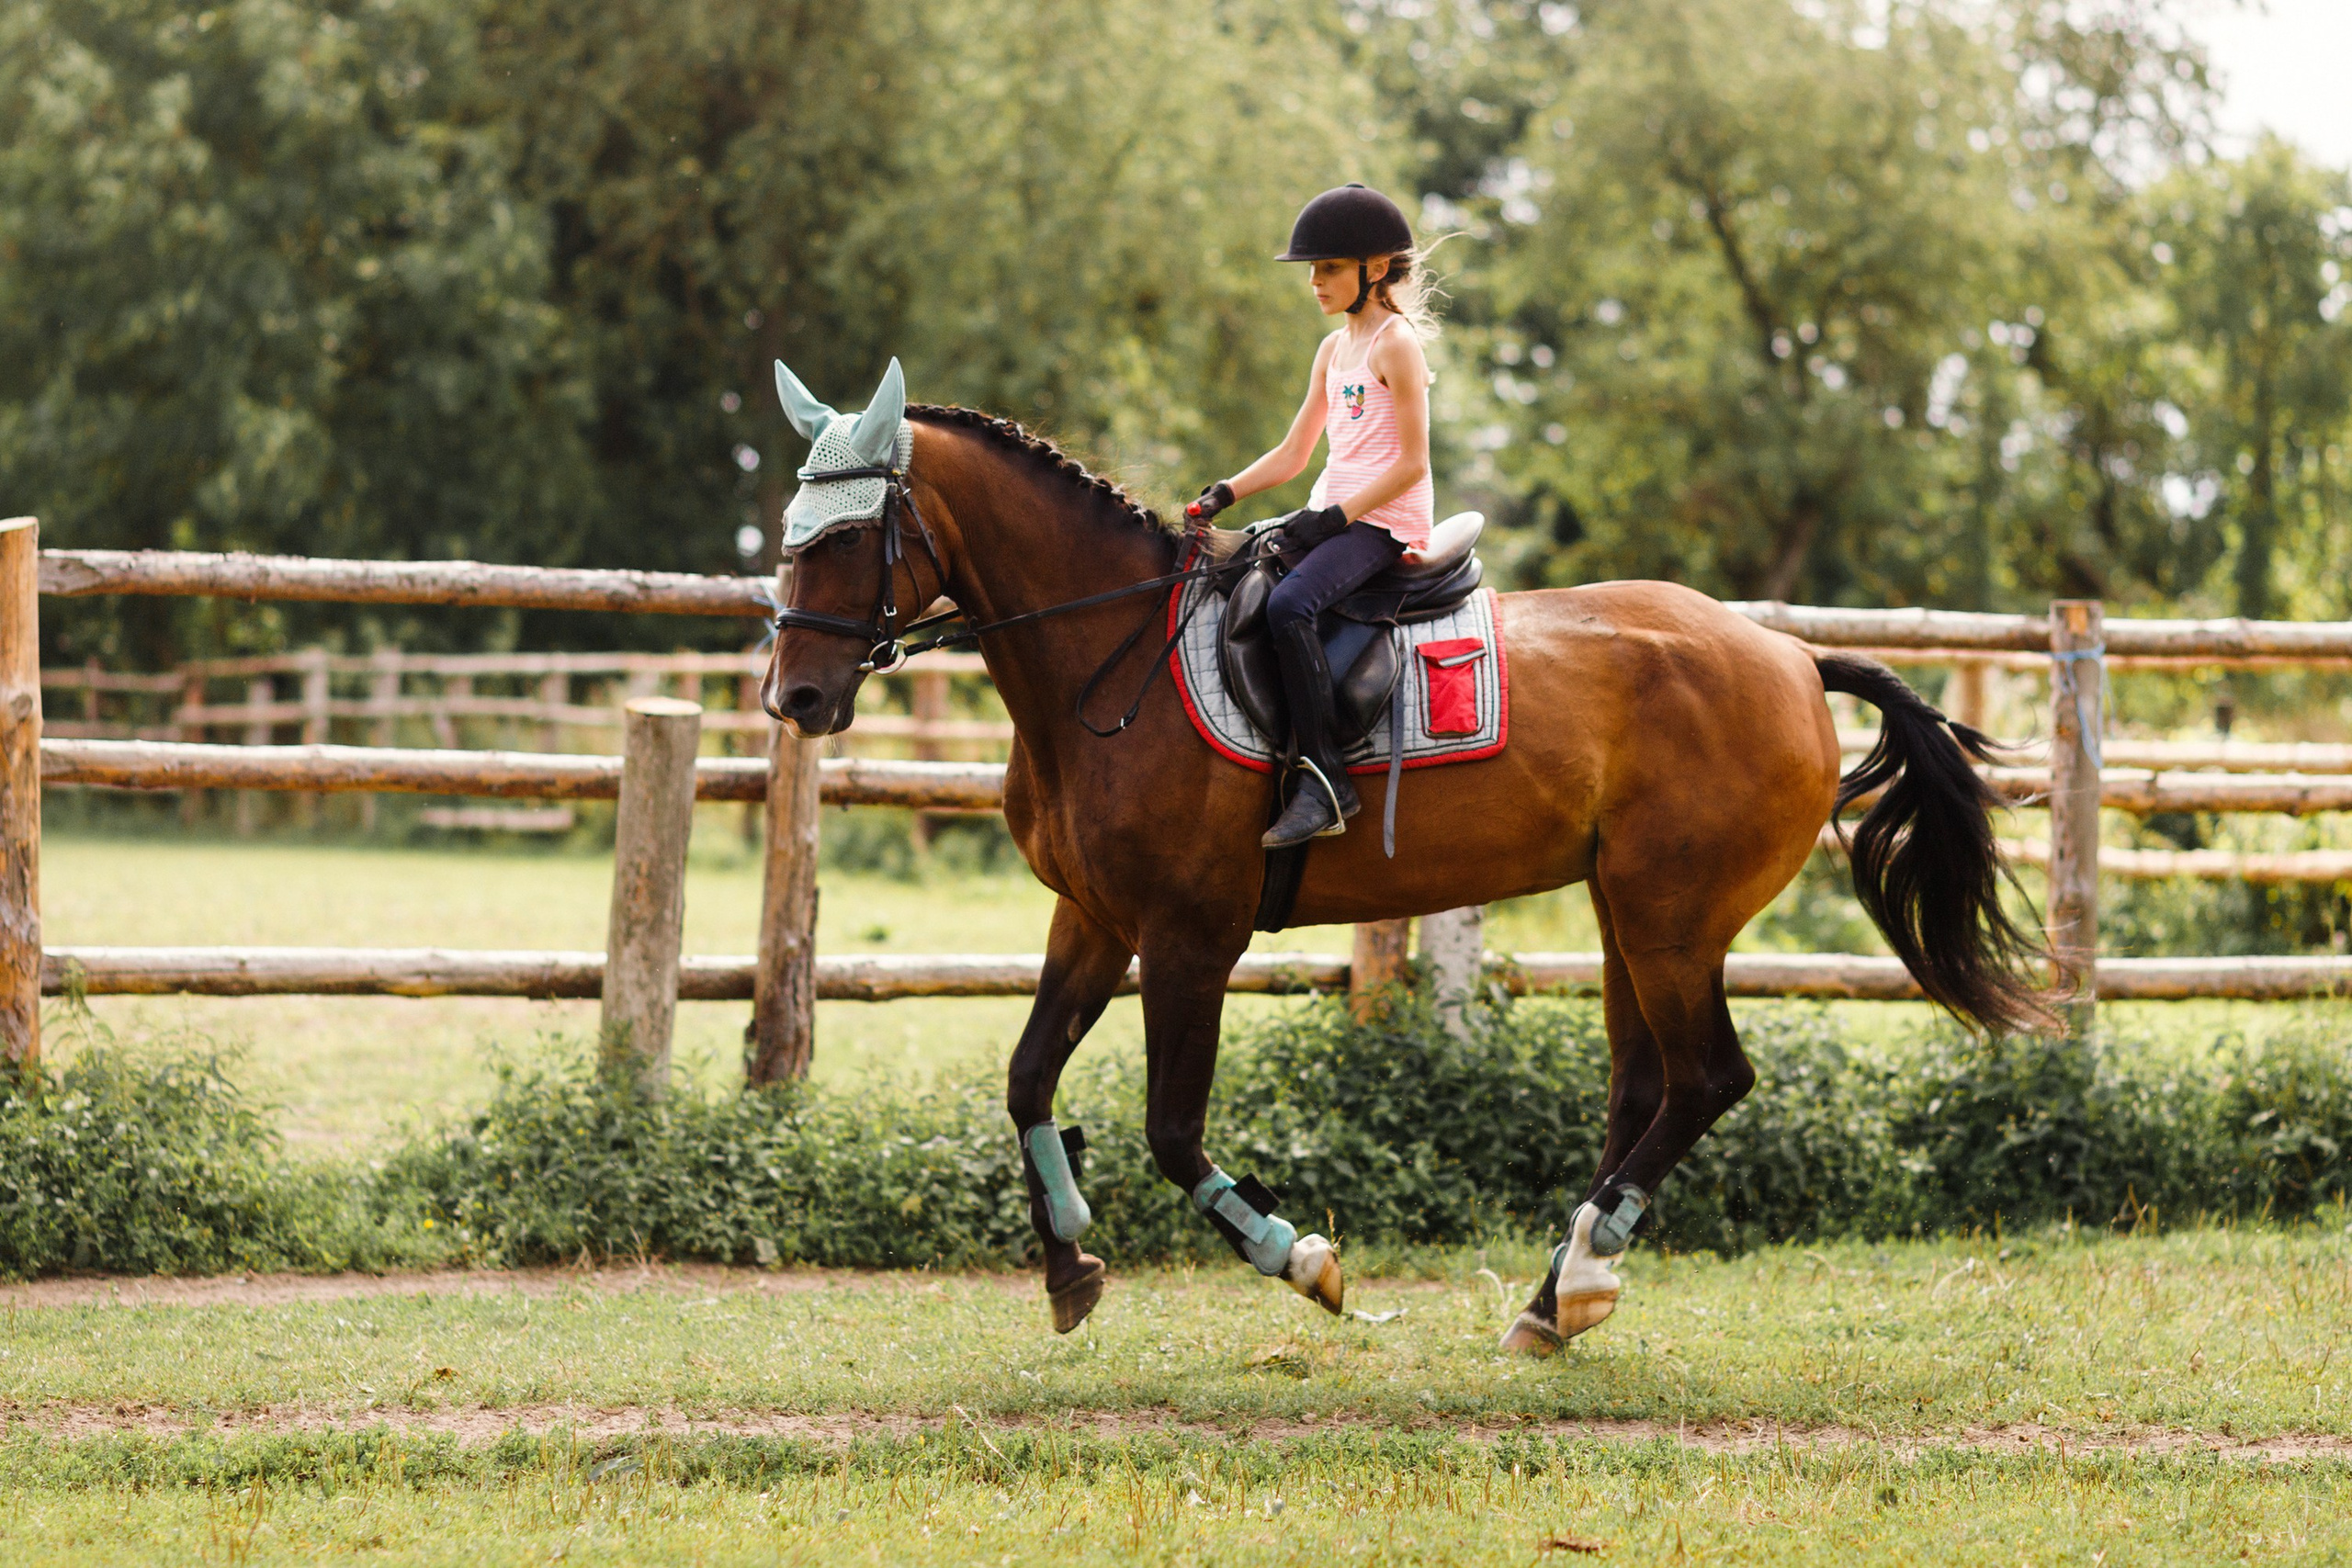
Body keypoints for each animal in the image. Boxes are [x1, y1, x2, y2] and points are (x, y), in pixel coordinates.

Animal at [760, 362, 2048, 1350]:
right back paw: (1555, 1295)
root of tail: (1788, 658)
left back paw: (1582, 1275)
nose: (796, 699)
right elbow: (1028, 1079)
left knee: (1706, 1080)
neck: (1107, 660)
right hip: (1628, 915)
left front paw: (1298, 1257)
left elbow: (1172, 1130)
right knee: (1646, 1088)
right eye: (787, 537)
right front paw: (1070, 1266)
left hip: (1673, 918)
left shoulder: (1187, 939)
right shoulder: (1093, 920)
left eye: (851, 537)